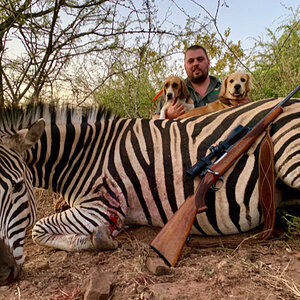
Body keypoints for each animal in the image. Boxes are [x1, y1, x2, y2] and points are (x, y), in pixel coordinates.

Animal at [0, 98, 300, 284]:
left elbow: (38, 229)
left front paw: (99, 239)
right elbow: (41, 230)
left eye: (17, 186)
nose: (3, 271)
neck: (83, 154)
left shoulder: (102, 207)